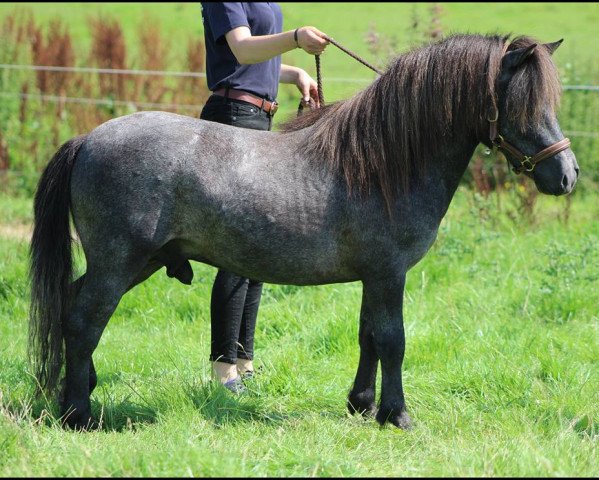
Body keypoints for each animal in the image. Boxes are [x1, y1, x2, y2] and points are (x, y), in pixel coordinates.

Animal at [29, 34, 580, 432]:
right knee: (83, 322)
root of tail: (88, 139)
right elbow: (393, 340)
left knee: (70, 311)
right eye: (523, 104)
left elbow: (368, 336)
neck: (382, 164)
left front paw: (362, 405)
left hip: (132, 265)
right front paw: (397, 414)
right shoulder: (390, 274)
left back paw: (74, 394)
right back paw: (78, 414)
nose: (568, 175)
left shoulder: (374, 278)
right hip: (118, 265)